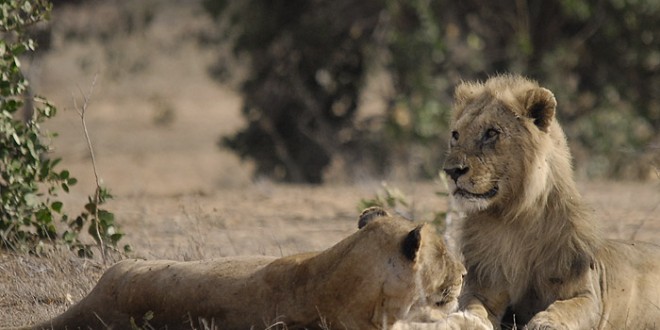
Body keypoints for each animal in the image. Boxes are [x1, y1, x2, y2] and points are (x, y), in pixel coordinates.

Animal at [444, 73, 660, 328]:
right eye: (456, 135)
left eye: (491, 133)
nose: (451, 171)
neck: (515, 218)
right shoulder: (485, 286)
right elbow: (473, 308)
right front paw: (458, 320)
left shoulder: (586, 293)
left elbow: (567, 308)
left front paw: (545, 321)